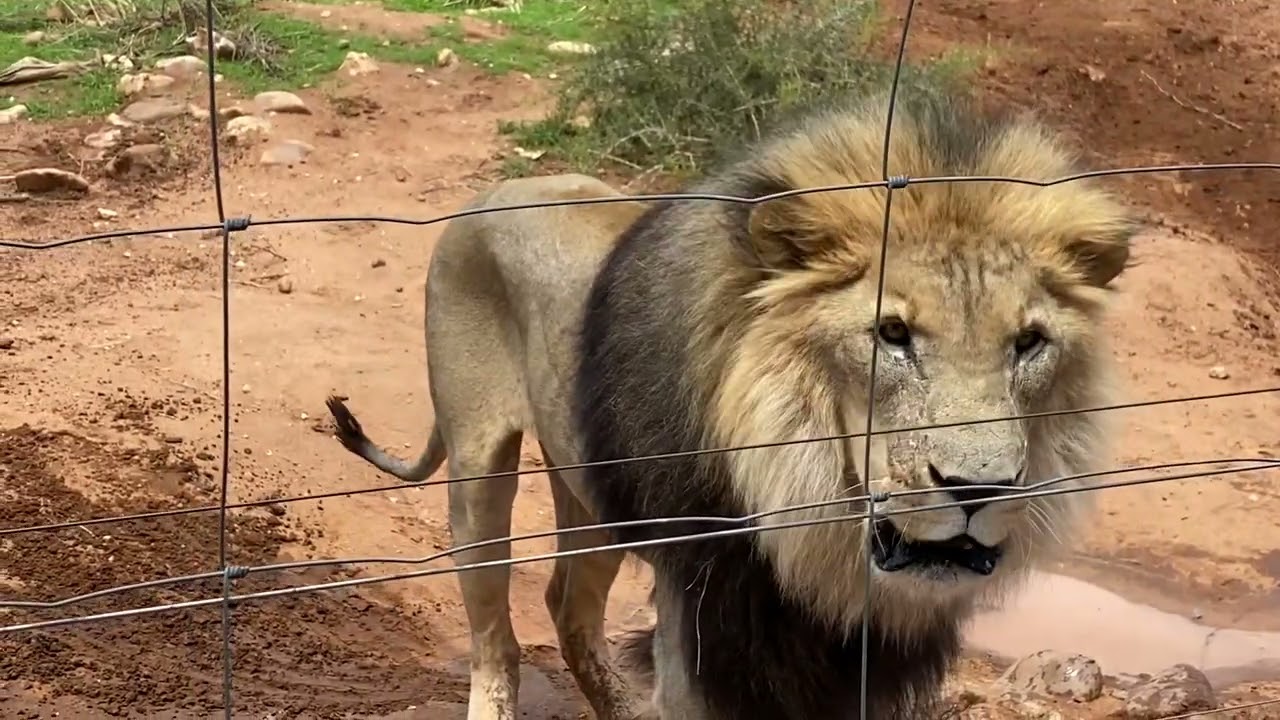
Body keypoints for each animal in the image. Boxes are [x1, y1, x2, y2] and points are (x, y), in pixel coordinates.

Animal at [326, 89, 1135, 720]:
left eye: (1029, 343)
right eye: (892, 334)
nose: (980, 489)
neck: (811, 523)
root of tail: (494, 193)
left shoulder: (859, 658)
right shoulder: (705, 616)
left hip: (592, 496)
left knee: (566, 605)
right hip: (478, 464)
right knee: (495, 638)